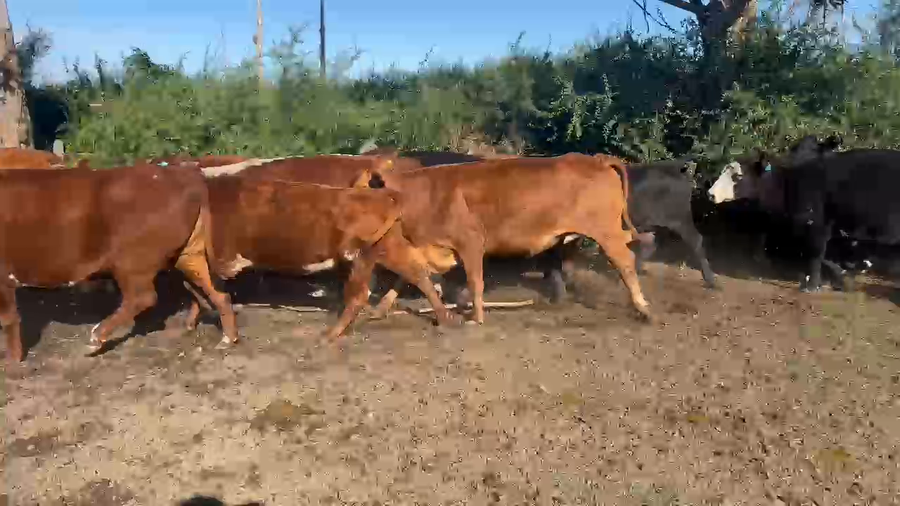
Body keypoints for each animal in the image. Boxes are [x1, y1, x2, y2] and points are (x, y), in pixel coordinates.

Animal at [0, 164, 238, 362]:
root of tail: (181, 173)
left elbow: (8, 318)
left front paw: (12, 360)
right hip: (188, 254)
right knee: (216, 292)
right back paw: (228, 338)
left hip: (131, 262)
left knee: (142, 297)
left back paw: (95, 338)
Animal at [185, 175, 454, 338]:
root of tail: (383, 195)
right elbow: (195, 289)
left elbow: (200, 288)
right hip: (387, 249)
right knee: (418, 274)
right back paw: (442, 318)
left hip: (363, 256)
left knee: (360, 294)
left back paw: (332, 335)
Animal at [365, 153, 655, 323]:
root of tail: (595, 158)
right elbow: (407, 277)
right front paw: (380, 309)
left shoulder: (471, 242)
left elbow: (475, 281)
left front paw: (476, 318)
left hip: (606, 232)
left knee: (625, 260)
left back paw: (642, 307)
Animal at [707, 135, 900, 291]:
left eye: (738, 176)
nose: (710, 194)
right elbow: (825, 256)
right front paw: (840, 276)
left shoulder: (818, 226)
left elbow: (816, 255)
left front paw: (813, 285)